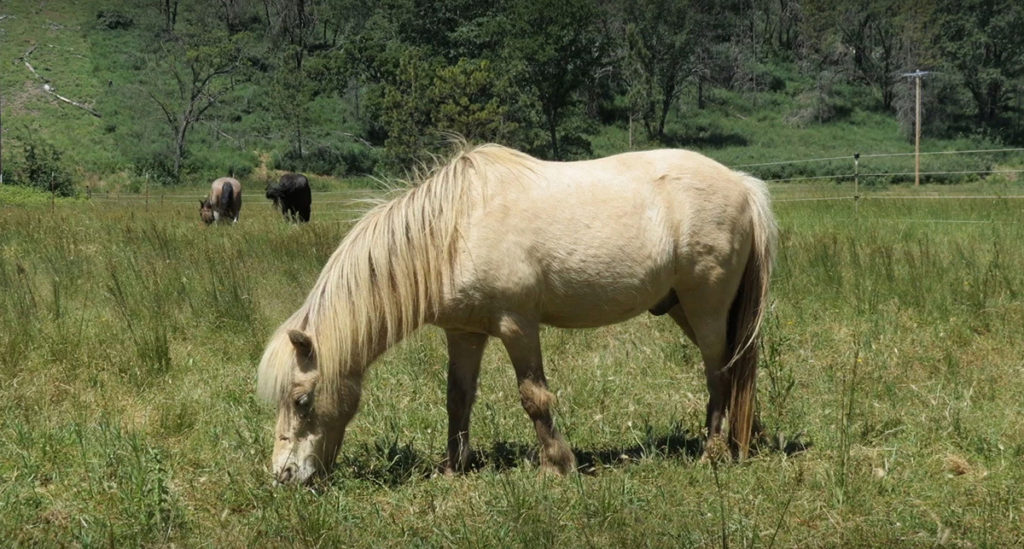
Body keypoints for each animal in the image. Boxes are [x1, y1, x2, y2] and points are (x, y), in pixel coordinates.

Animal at [256, 142, 774, 485]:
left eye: (302, 400)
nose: (284, 476)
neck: (452, 233)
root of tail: (743, 186)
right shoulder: (464, 333)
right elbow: (458, 398)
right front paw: (453, 468)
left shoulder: (517, 326)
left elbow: (534, 397)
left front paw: (557, 465)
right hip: (684, 308)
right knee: (733, 371)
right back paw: (742, 439)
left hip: (706, 307)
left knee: (720, 373)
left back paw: (712, 453)